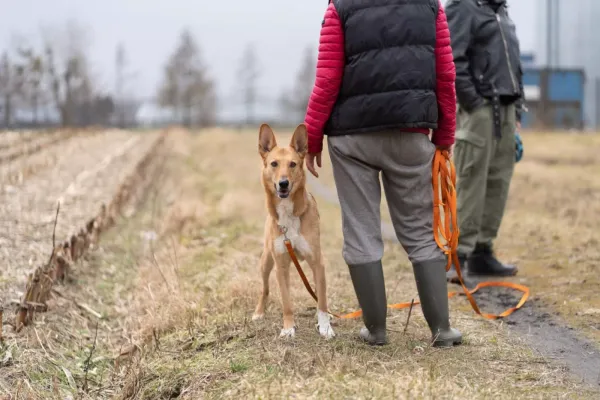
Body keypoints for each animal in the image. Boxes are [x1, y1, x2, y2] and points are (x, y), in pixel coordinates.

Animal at [252, 123, 336, 340]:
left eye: (293, 164)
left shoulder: (318, 262)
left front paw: (325, 327)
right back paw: (259, 312)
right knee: (264, 289)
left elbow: (322, 300)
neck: (288, 213)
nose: (283, 183)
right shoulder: (281, 266)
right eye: (274, 164)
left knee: (318, 293)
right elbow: (286, 301)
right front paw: (289, 327)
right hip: (266, 262)